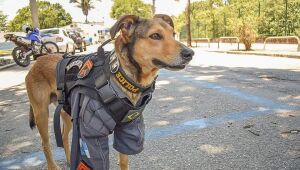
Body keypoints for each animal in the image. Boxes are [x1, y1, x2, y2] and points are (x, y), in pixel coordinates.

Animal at [25, 13, 195, 169]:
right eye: (155, 36)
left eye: (173, 34)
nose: (190, 53)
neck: (124, 78)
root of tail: (38, 60)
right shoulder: (92, 135)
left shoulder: (128, 130)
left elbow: (124, 161)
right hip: (41, 114)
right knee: (45, 144)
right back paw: (53, 166)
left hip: (67, 112)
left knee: (64, 136)